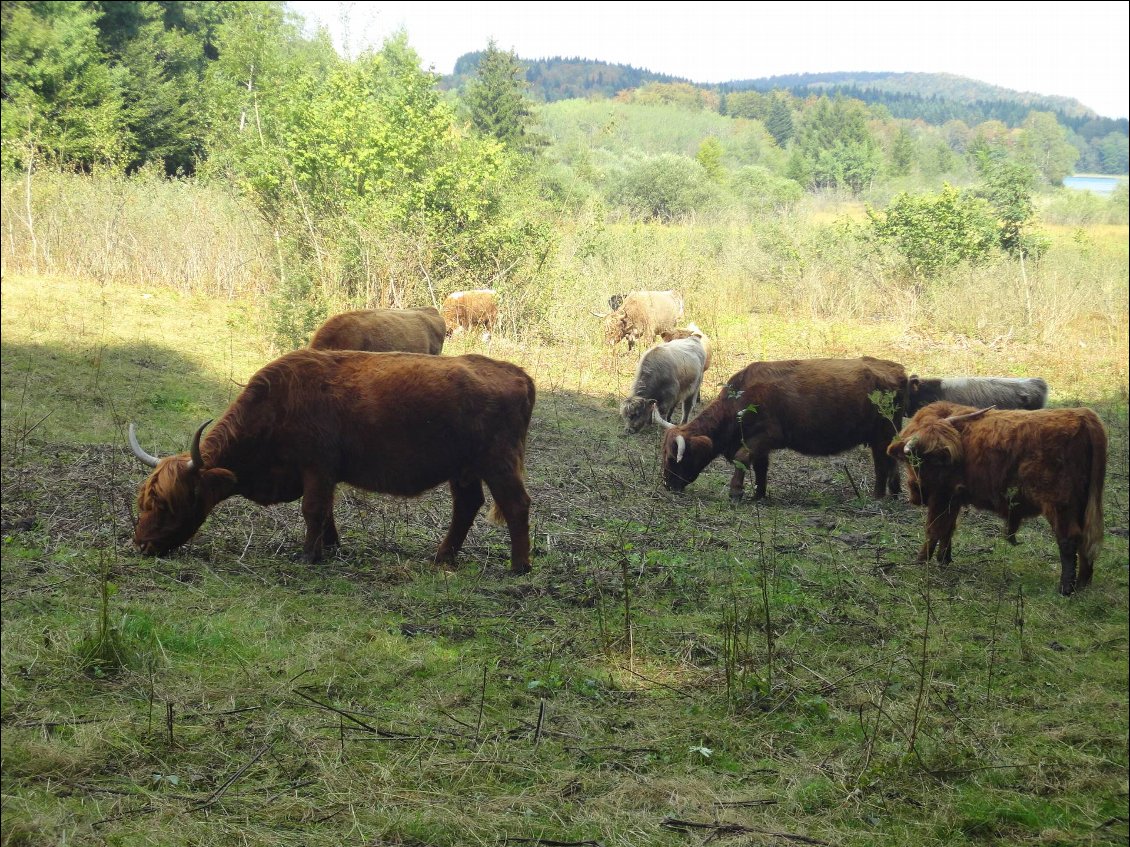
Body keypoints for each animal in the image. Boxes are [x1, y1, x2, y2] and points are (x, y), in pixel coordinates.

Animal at [129, 347, 535, 573]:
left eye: (166, 504)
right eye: (144, 502)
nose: (142, 543)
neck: (276, 406)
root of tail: (516, 372)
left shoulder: (317, 468)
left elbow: (313, 510)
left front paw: (309, 555)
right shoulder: (323, 474)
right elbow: (327, 512)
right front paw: (331, 546)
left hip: (498, 462)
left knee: (516, 505)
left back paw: (519, 567)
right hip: (463, 470)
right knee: (467, 506)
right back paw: (442, 557)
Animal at [655, 359, 908, 503]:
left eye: (673, 458)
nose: (667, 485)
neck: (738, 401)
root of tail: (896, 368)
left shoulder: (764, 437)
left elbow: (742, 459)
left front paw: (736, 491)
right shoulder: (761, 446)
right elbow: (760, 468)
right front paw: (759, 494)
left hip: (881, 434)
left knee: (881, 464)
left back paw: (877, 496)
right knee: (891, 462)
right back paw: (895, 493)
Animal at [890, 404, 1102, 596]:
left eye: (941, 454)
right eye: (927, 456)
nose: (918, 496)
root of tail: (1083, 415)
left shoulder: (940, 496)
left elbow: (934, 528)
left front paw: (920, 561)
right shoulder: (952, 498)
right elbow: (948, 529)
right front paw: (944, 559)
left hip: (1060, 505)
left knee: (1068, 540)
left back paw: (1066, 589)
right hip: (1081, 507)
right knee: (1084, 541)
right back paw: (1083, 584)